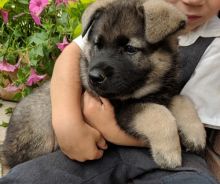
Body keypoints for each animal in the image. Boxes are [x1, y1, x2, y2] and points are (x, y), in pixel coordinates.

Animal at [2, 0, 206, 169]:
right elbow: (158, 113)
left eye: (130, 49)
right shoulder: (121, 109)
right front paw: (169, 152)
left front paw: (195, 134)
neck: (147, 86)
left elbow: (182, 99)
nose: (93, 77)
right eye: (98, 45)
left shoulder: (164, 94)